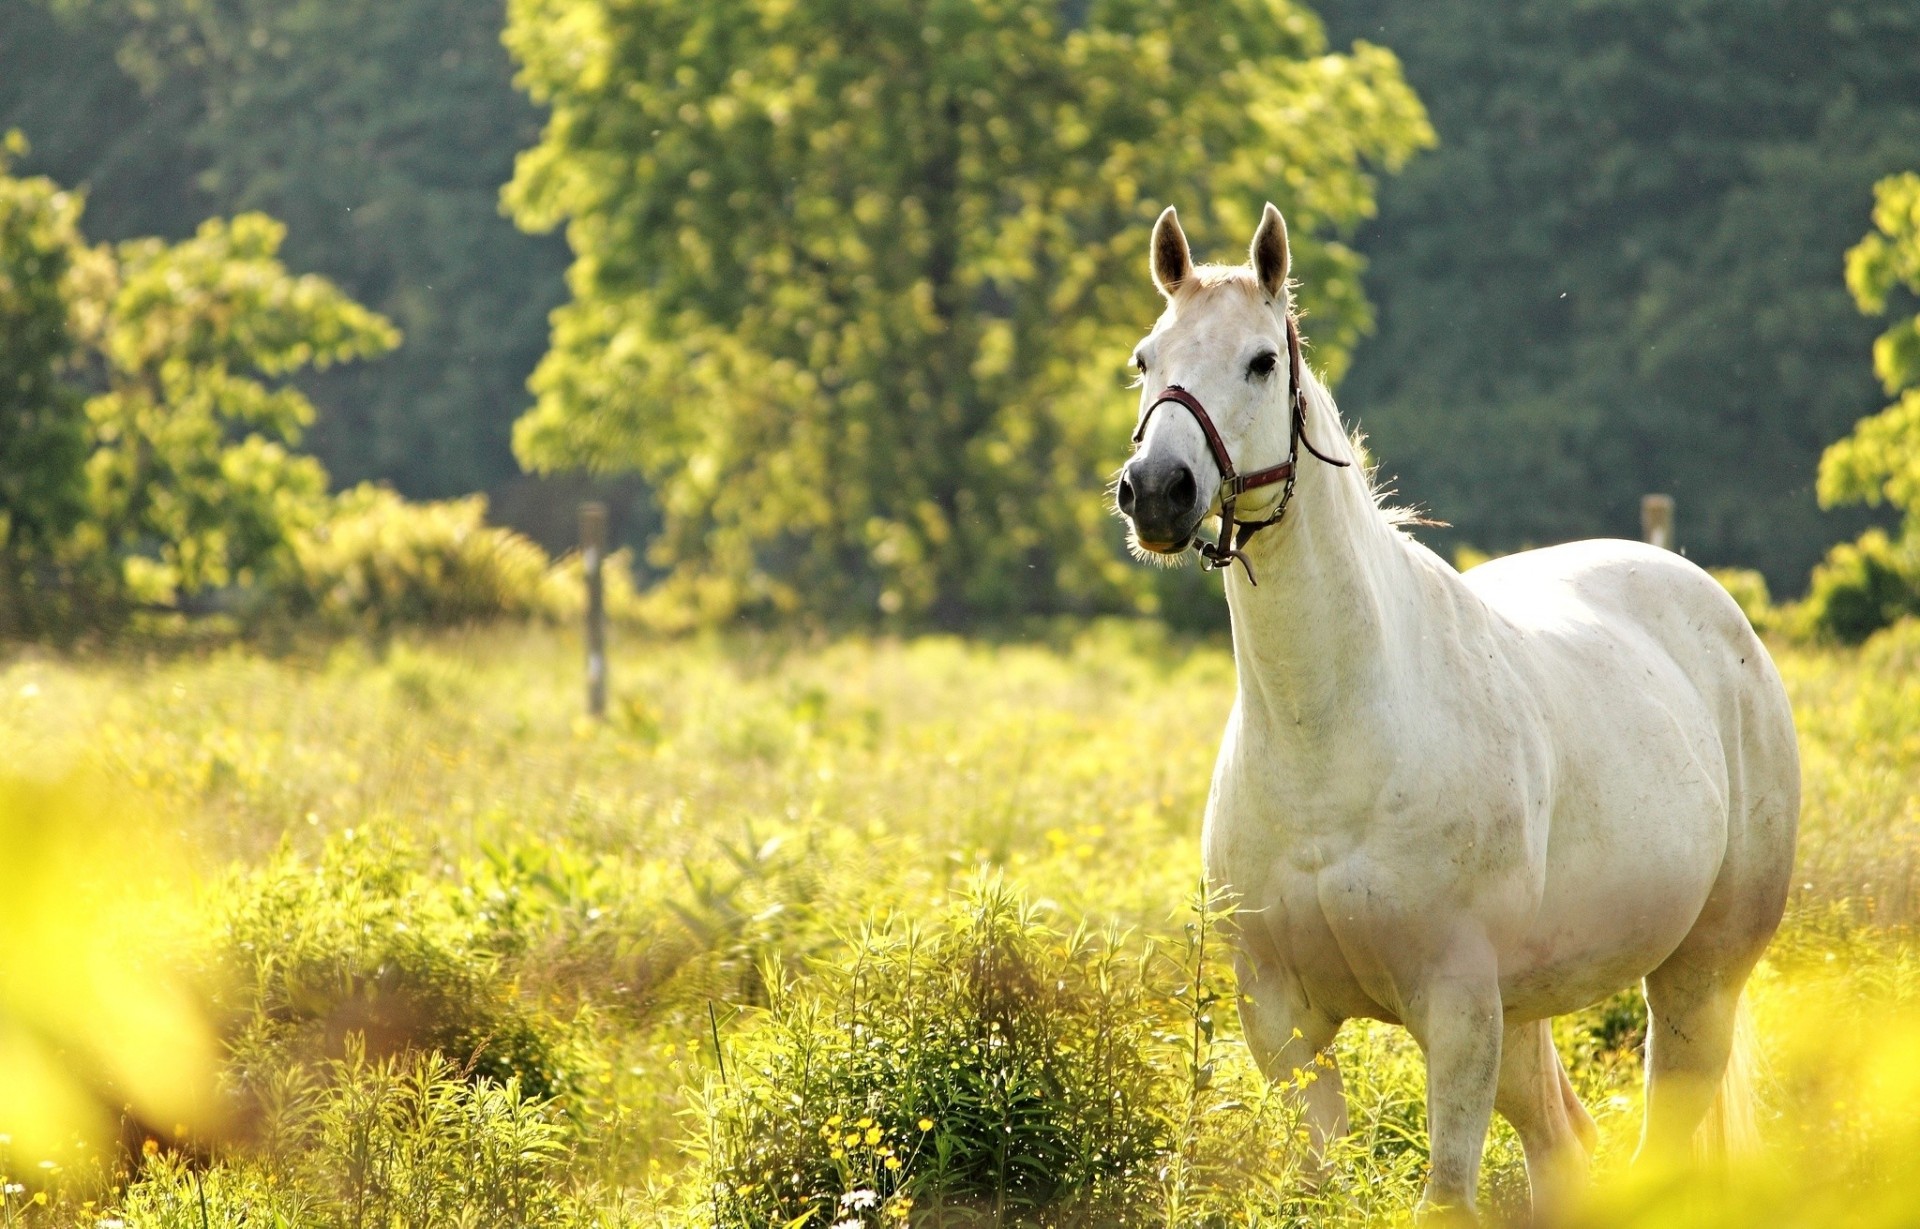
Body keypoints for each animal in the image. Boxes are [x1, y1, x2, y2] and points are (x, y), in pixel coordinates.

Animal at [1113, 203, 1797, 1221]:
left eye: (1260, 362)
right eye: (1146, 358)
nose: (1157, 491)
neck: (1332, 739)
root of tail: (1713, 608)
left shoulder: (1458, 1005)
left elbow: (1444, 1197)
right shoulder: (1280, 1020)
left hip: (1695, 980)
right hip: (1531, 1014)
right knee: (1563, 1147)